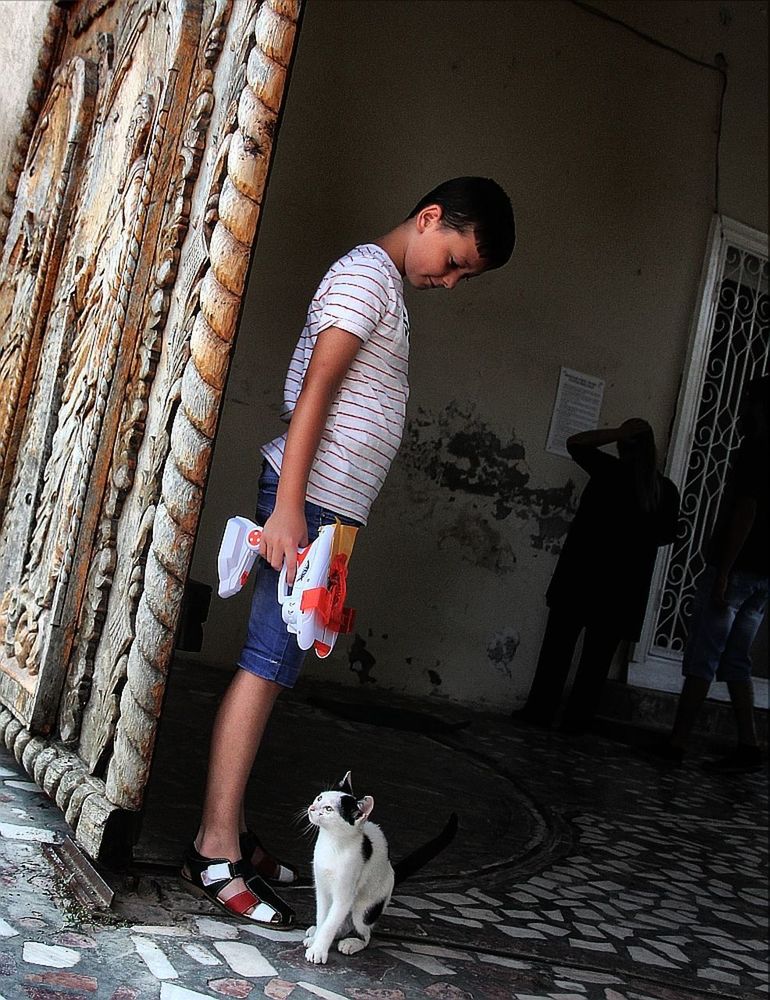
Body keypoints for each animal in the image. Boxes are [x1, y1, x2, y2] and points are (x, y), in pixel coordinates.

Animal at [302, 768, 456, 964]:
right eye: (319, 798)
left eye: (329, 809)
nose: (311, 808)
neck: (332, 844)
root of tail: (392, 871)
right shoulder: (321, 888)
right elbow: (323, 917)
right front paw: (317, 938)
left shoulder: (344, 896)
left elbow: (330, 923)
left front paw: (318, 950)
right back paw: (317, 932)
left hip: (364, 906)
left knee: (365, 934)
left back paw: (352, 943)